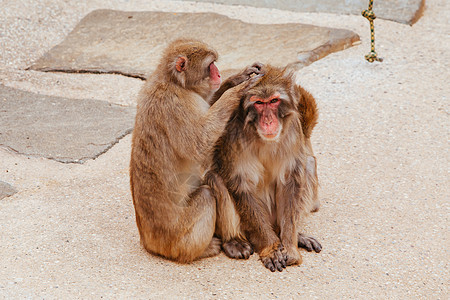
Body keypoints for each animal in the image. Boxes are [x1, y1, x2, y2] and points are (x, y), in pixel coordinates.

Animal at [129, 38, 264, 262]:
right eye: (210, 65)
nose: (218, 74)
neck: (174, 82)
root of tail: (148, 242)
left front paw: (238, 78)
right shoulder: (176, 105)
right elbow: (199, 144)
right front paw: (237, 91)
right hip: (178, 238)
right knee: (207, 195)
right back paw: (208, 248)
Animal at [207, 64, 324, 270]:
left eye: (274, 101)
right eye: (259, 103)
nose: (269, 121)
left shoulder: (293, 131)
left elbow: (290, 181)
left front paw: (290, 248)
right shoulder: (234, 137)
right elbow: (241, 185)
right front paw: (271, 249)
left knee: (307, 164)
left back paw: (296, 236)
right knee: (215, 176)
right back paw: (234, 241)